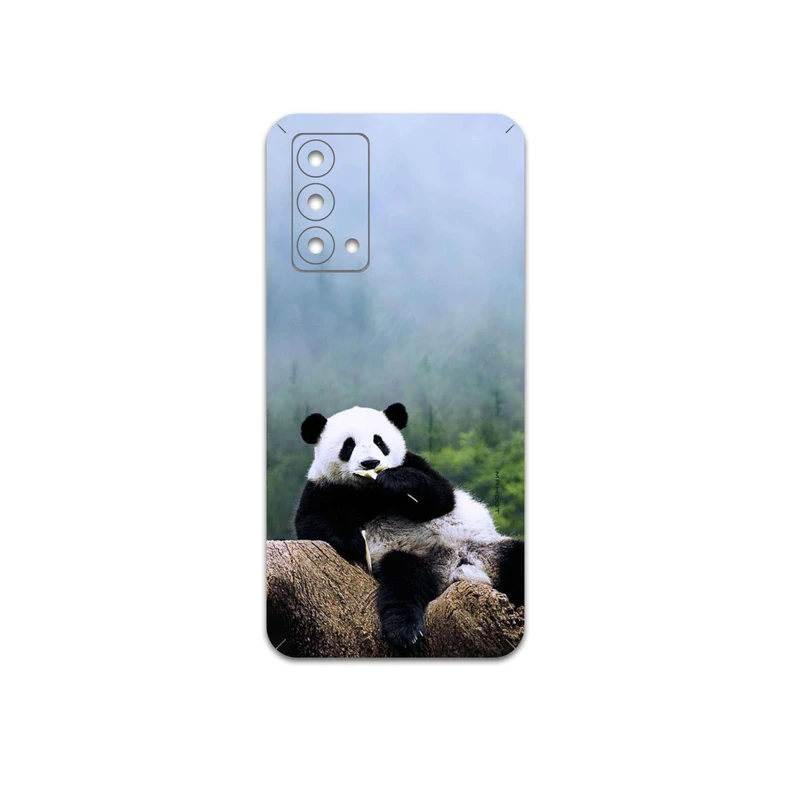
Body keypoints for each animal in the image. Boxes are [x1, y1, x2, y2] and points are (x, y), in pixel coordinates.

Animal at [294, 402, 524, 651]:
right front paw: (356, 542)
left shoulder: (413, 463)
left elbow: (441, 497)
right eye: (348, 445)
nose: (370, 463)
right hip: (413, 558)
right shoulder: (323, 488)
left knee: (515, 558)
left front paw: (395, 481)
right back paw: (405, 631)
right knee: (404, 582)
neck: (368, 492)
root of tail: (456, 567)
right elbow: (311, 523)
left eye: (379, 441)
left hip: (486, 547)